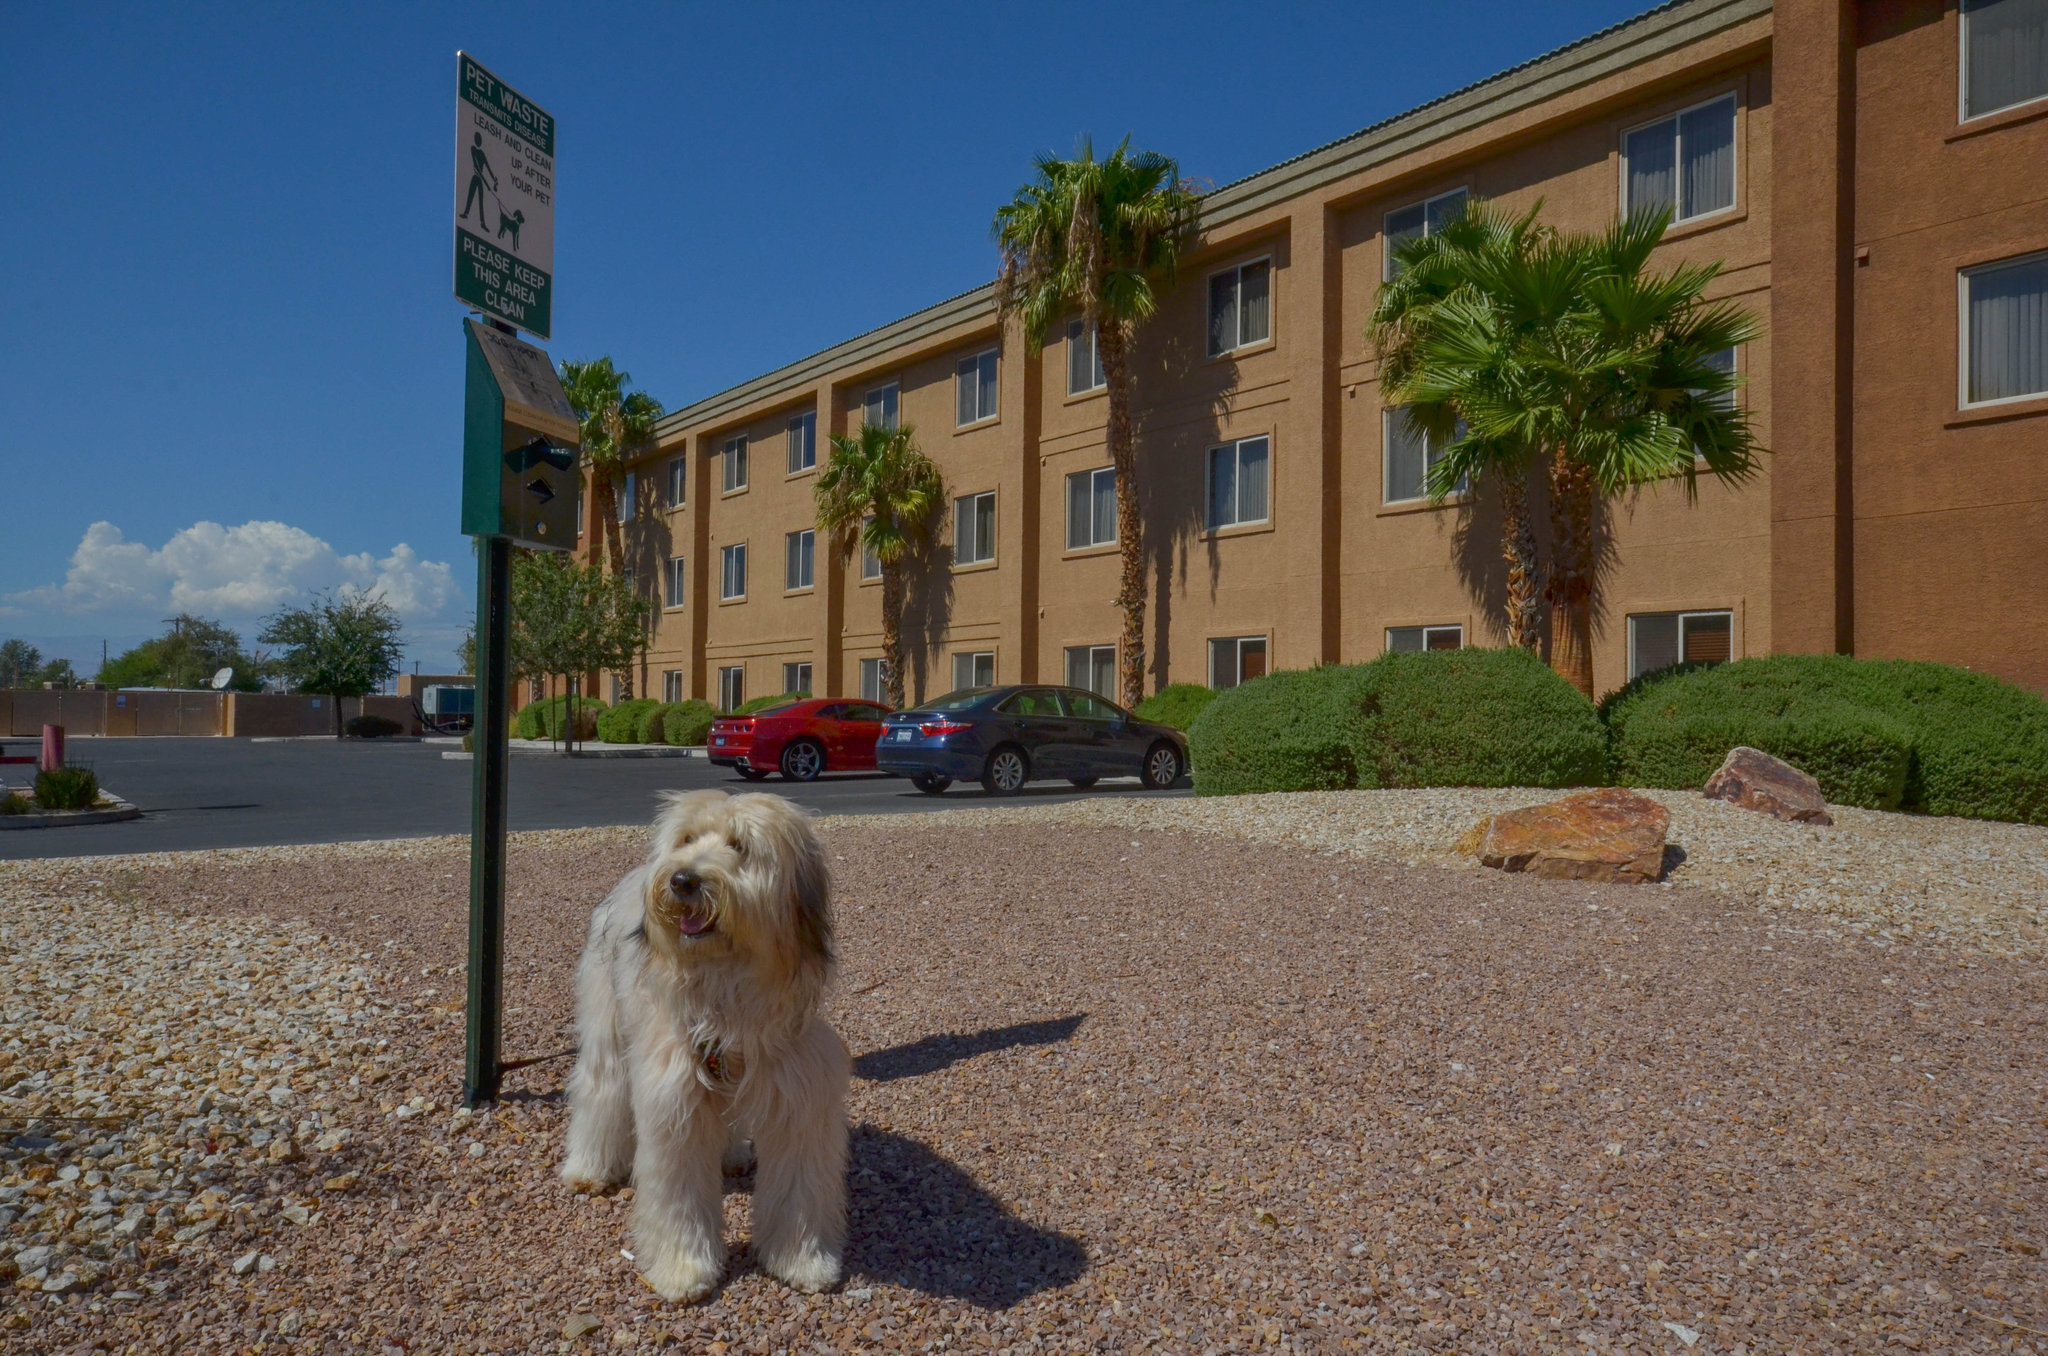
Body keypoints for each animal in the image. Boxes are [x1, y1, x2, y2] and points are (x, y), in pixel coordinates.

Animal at [561, 798, 847, 1310]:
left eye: (740, 846)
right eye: (688, 839)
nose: (682, 880)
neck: (726, 988)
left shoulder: (799, 1097)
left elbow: (798, 1189)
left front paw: (802, 1262)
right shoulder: (675, 1099)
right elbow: (681, 1194)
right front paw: (684, 1270)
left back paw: (731, 1155)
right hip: (606, 1028)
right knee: (601, 1089)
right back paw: (589, 1168)